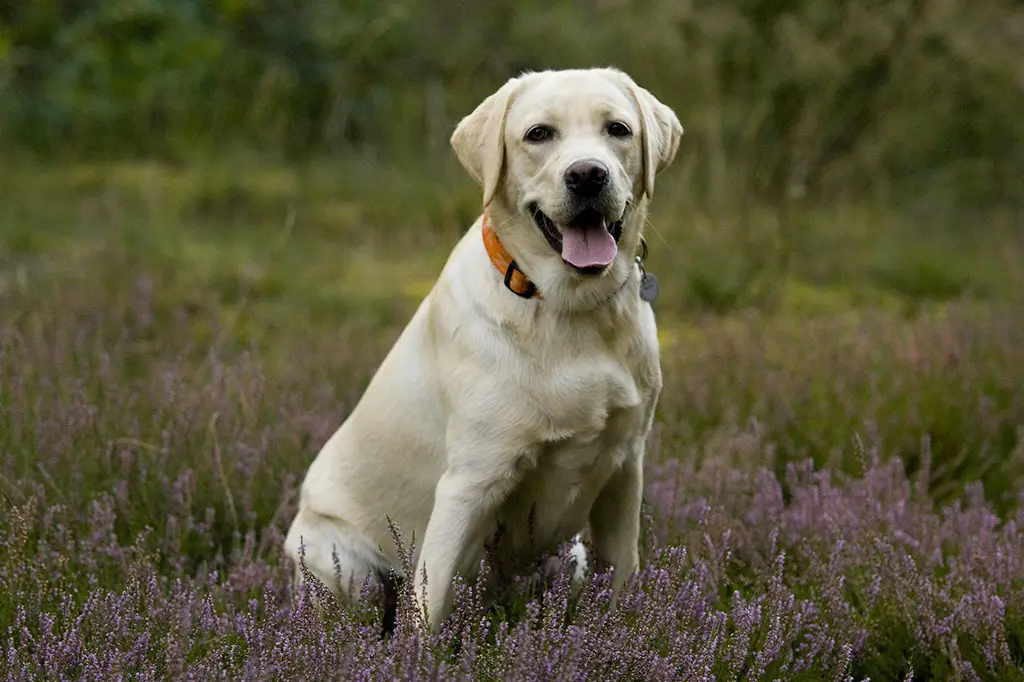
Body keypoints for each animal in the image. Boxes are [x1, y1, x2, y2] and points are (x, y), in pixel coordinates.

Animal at [286, 66, 679, 630]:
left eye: (618, 129)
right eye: (539, 134)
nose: (587, 175)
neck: (570, 308)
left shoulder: (625, 470)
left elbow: (623, 577)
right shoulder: (471, 483)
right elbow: (427, 612)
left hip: (570, 557)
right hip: (344, 568)